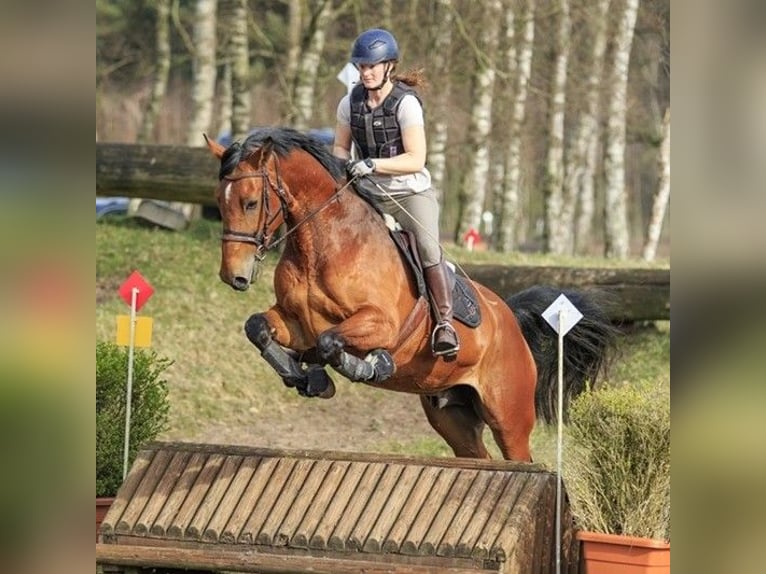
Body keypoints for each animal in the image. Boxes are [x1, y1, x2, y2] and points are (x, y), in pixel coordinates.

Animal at [205, 127, 615, 461]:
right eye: (220, 202)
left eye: (250, 202)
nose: (233, 275)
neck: (323, 243)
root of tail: (510, 319)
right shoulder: (295, 322)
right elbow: (258, 327)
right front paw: (303, 376)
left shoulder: (379, 323)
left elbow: (330, 341)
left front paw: (368, 366)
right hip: (452, 414)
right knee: (477, 457)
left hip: (509, 416)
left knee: (521, 459)